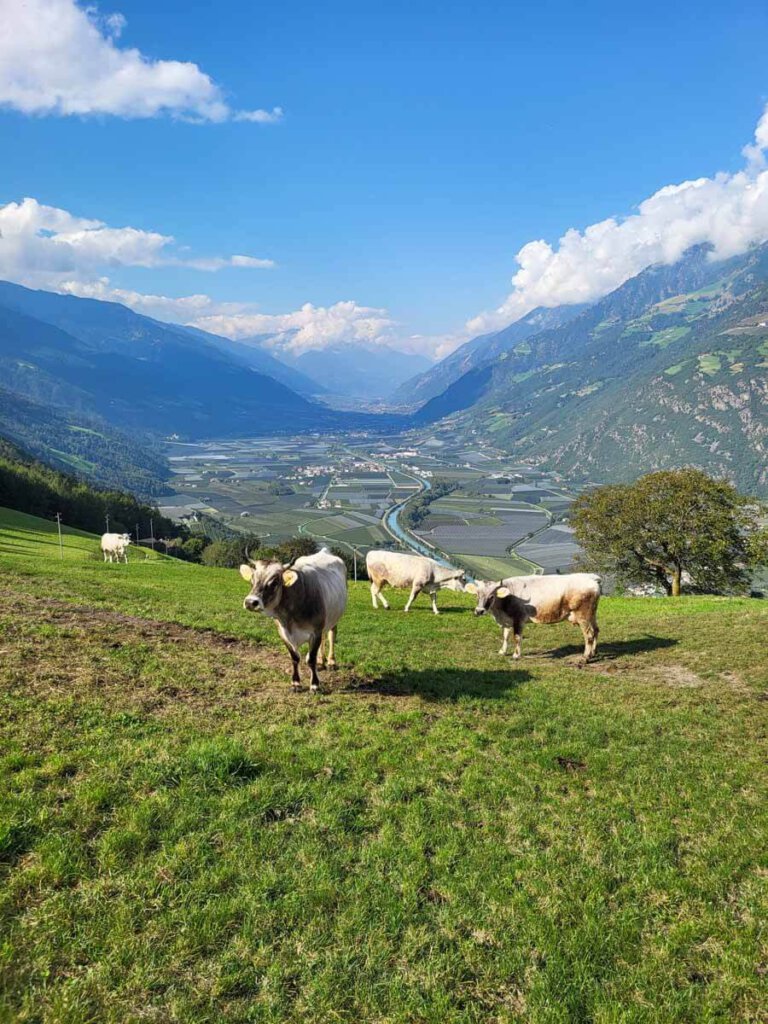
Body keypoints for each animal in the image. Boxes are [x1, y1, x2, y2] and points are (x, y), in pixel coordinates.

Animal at [466, 573, 606, 659]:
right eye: (477, 594)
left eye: (491, 596)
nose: (479, 611)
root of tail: (591, 577)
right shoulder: (506, 620)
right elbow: (505, 636)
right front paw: (502, 651)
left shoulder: (519, 618)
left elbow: (517, 637)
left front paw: (516, 655)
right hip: (592, 614)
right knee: (596, 630)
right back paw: (593, 652)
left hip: (583, 615)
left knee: (589, 634)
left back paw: (586, 656)